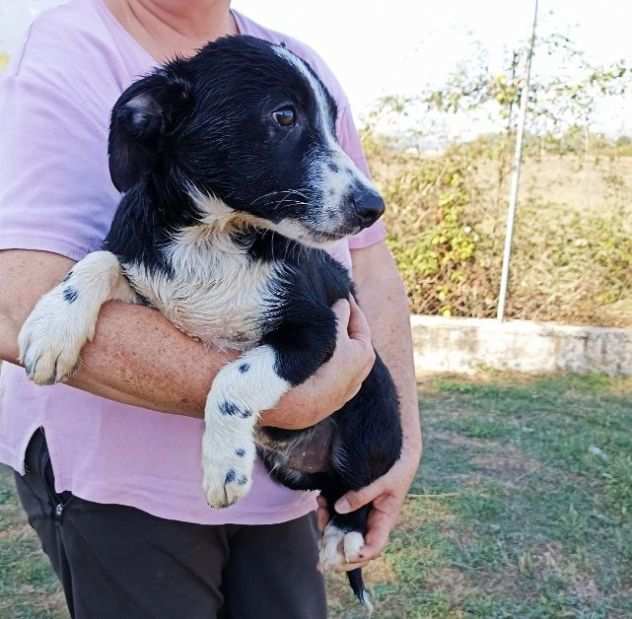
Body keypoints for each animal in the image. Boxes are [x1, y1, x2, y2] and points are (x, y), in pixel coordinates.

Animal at [21, 35, 404, 612]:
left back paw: (345, 535)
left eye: (332, 121)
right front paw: (53, 326)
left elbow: (234, 379)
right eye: (284, 116)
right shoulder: (146, 279)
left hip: (375, 414)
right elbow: (100, 260)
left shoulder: (318, 332)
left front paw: (224, 462)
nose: (373, 207)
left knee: (352, 493)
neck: (216, 237)